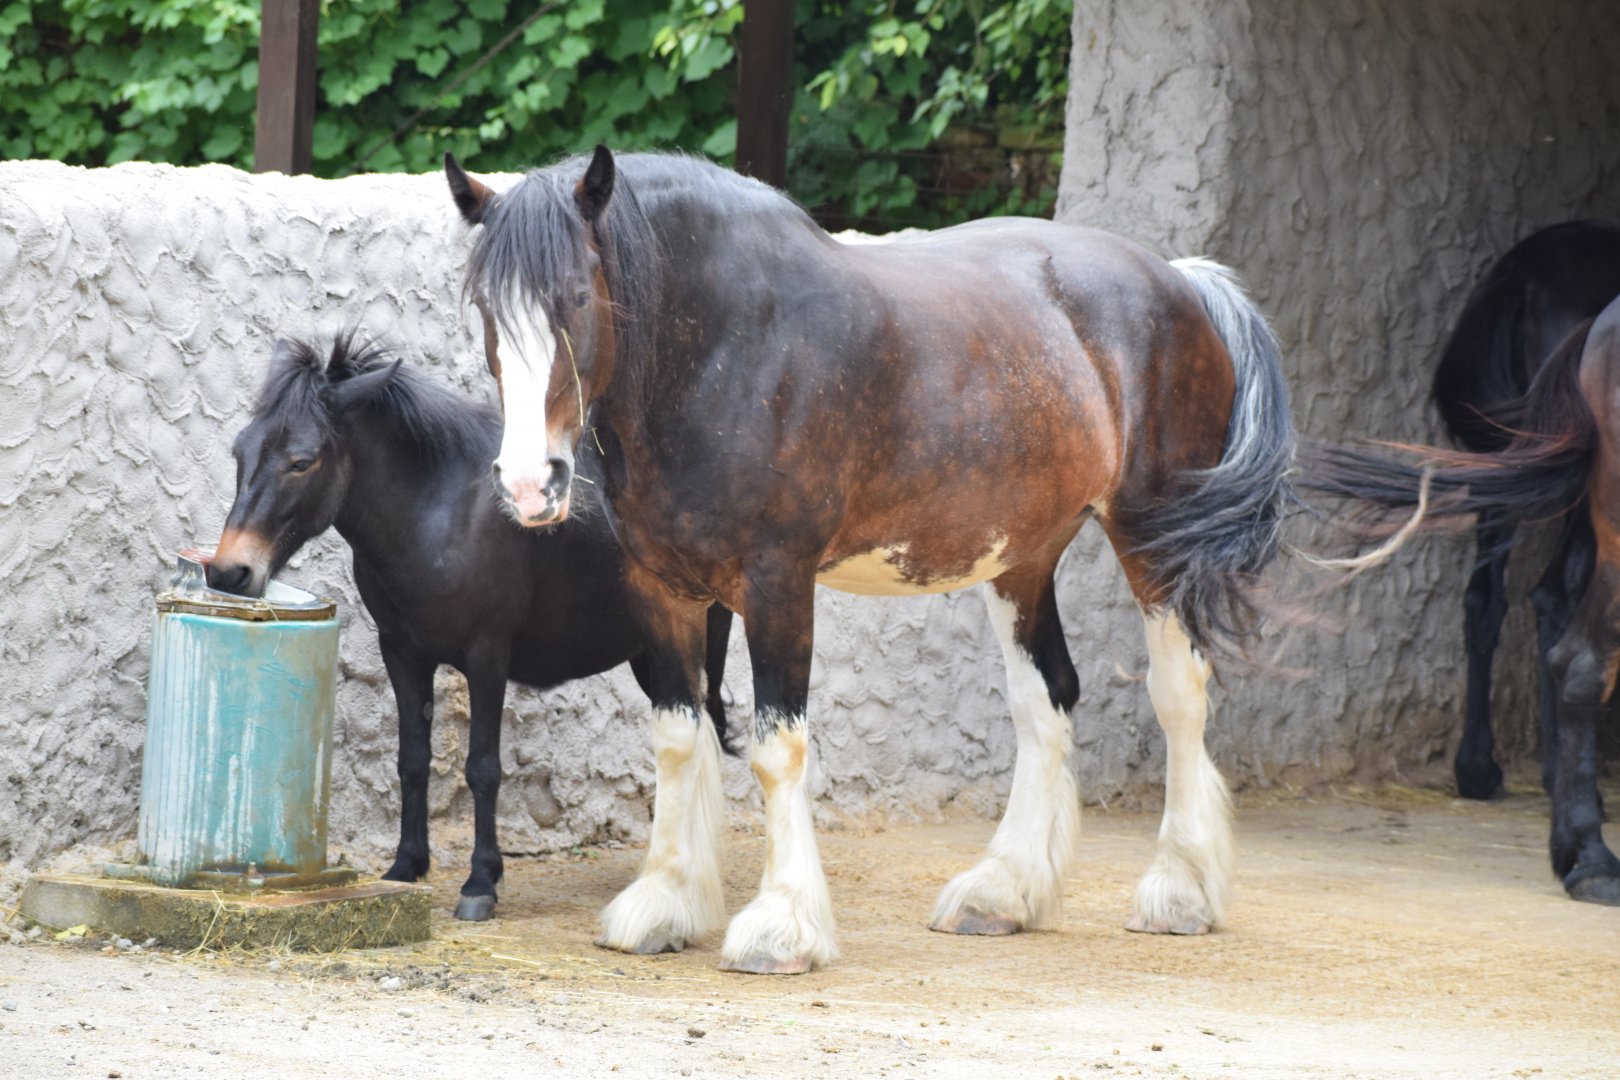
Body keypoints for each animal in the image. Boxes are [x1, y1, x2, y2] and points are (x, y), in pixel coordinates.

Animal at [205, 333, 735, 920]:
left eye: (302, 461)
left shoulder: (487, 656)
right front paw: (406, 866)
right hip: (650, 654)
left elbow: (483, 768)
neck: (439, 513)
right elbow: (412, 761)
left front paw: (481, 881)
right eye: (240, 452)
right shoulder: (402, 654)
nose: (230, 572)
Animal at [443, 146, 1297, 972]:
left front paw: (781, 929)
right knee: (1044, 698)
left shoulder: (778, 583)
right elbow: (679, 739)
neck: (726, 344)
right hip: (1021, 559)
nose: (529, 483)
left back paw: (1180, 890)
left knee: (1179, 695)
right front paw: (665, 903)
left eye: (578, 300)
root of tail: (1180, 282)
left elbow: (777, 749)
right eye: (486, 310)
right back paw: (1004, 891)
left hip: (1154, 536)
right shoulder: (661, 588)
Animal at [1429, 222, 1620, 801]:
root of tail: (1522, 277)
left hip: (1506, 464)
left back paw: (1476, 768)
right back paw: (1563, 779)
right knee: (1555, 591)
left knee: (1485, 597)